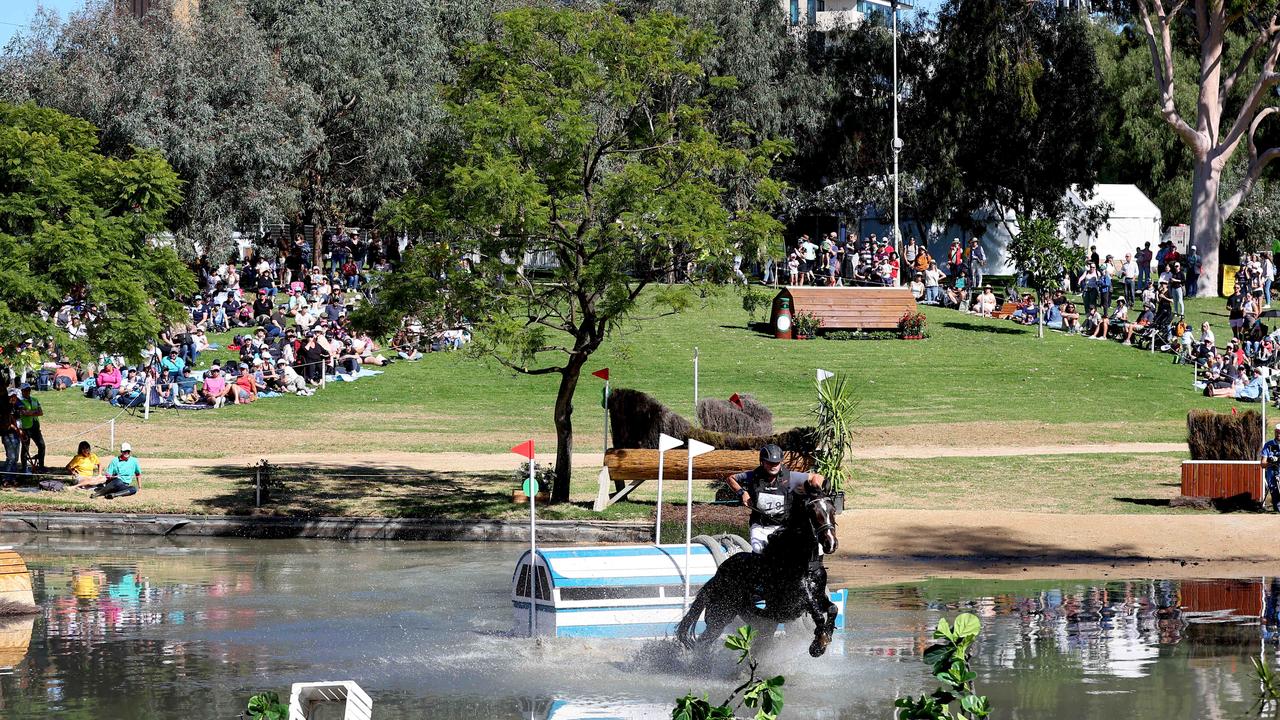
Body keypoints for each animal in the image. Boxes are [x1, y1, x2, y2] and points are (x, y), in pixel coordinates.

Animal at [670, 489, 839, 653]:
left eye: (833, 510)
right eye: (813, 512)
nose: (830, 544)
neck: (803, 562)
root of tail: (716, 577)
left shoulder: (818, 596)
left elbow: (833, 608)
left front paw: (824, 637)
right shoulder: (797, 600)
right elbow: (818, 614)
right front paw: (818, 645)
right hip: (720, 615)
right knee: (704, 642)